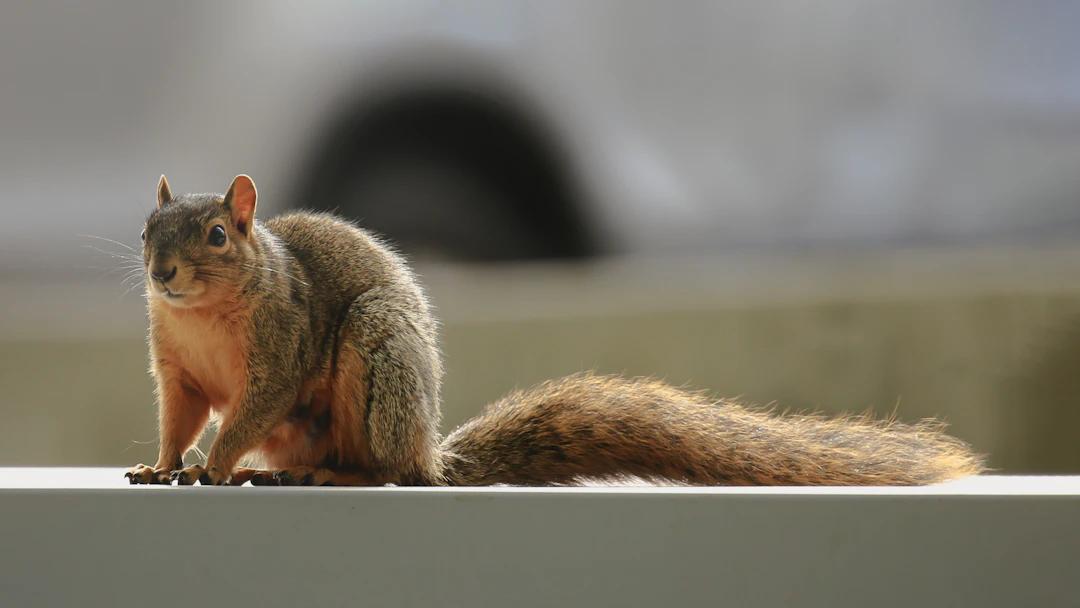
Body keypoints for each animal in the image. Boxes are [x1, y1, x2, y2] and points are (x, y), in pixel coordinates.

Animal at [126, 173, 989, 488]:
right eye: (146, 229)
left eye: (216, 237)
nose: (161, 274)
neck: (201, 317)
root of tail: (432, 447)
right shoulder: (175, 370)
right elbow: (180, 417)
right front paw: (163, 464)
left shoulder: (281, 345)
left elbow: (251, 411)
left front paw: (215, 466)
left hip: (379, 358)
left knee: (387, 469)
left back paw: (337, 474)